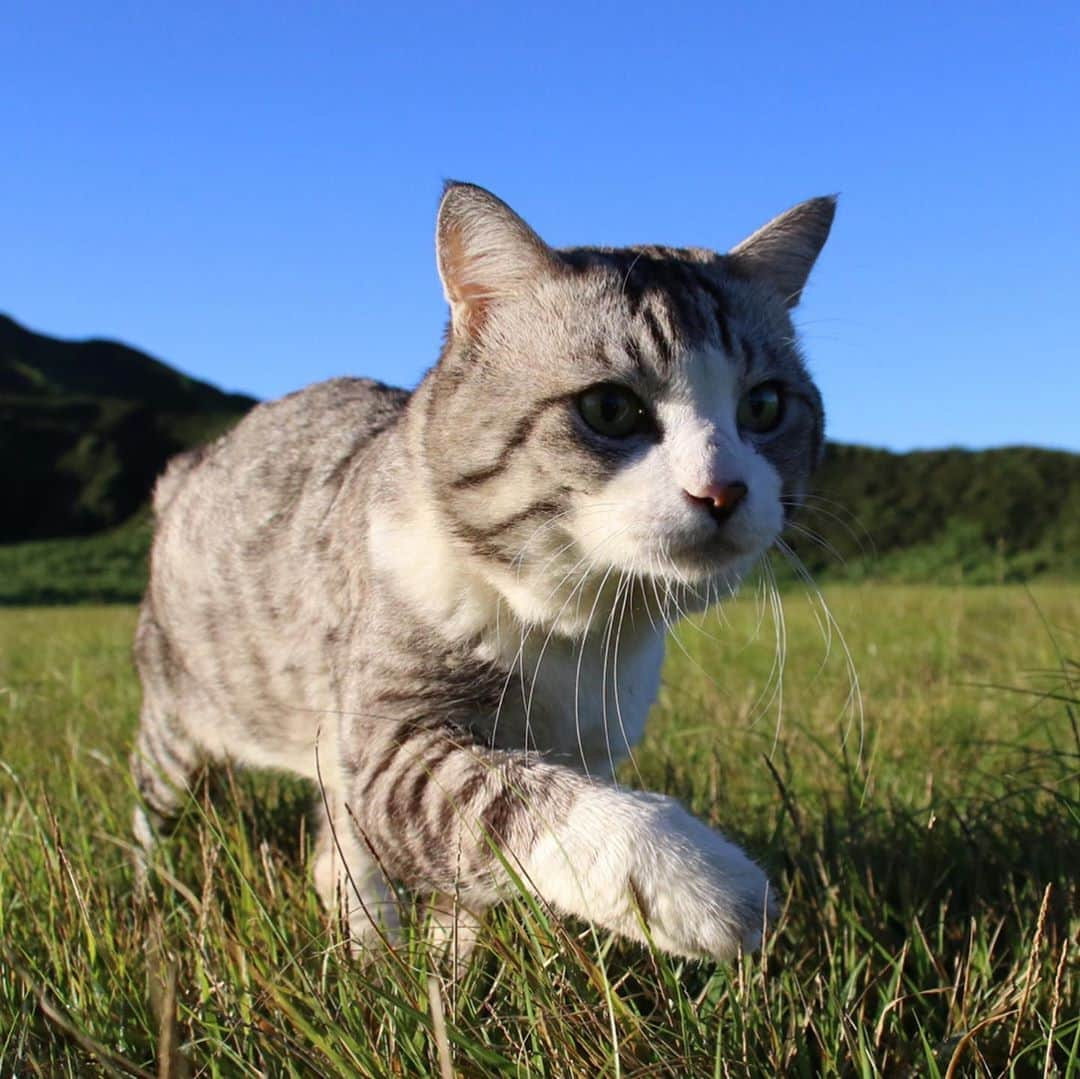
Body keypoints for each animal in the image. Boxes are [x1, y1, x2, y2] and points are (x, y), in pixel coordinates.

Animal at [128, 181, 833, 967]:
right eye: (610, 408)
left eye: (764, 405)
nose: (722, 490)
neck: (578, 629)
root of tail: (190, 465)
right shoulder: (390, 743)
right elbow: (507, 796)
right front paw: (702, 884)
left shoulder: (590, 742)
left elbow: (466, 890)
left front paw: (447, 966)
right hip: (178, 719)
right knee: (154, 803)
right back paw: (161, 888)